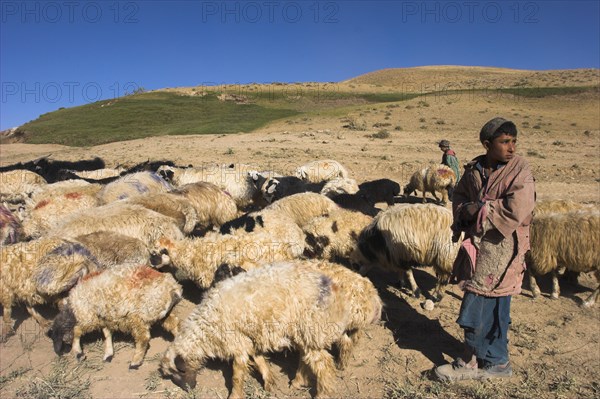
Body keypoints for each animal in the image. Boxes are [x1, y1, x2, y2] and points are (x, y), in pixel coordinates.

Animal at [49, 264, 182, 370]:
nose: (57, 352)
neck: (72, 310)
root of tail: (173, 288)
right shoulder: (105, 317)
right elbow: (107, 333)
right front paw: (108, 354)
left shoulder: (89, 316)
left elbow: (77, 331)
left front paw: (78, 353)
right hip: (160, 313)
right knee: (174, 325)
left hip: (137, 315)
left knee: (143, 338)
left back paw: (135, 362)